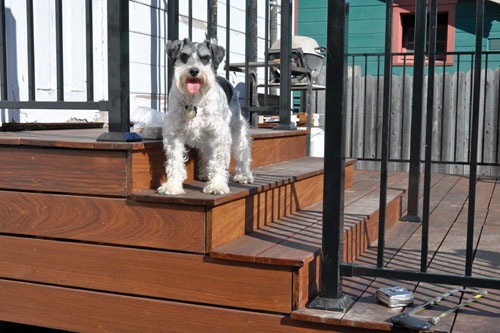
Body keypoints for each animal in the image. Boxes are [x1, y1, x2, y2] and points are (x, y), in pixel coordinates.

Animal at [158, 38, 254, 195]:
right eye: (183, 56)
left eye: (205, 57)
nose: (194, 71)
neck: (193, 101)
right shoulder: (174, 134)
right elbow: (175, 161)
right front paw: (172, 186)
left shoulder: (218, 134)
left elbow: (218, 161)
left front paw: (217, 186)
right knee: (205, 153)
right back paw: (205, 173)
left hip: (237, 128)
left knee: (242, 152)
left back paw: (243, 175)